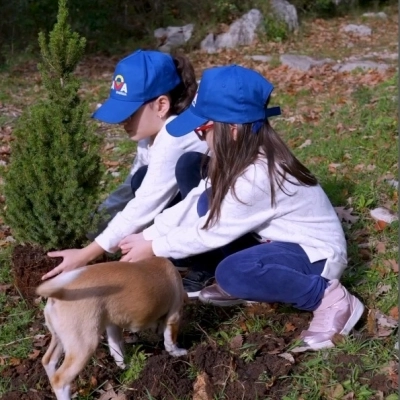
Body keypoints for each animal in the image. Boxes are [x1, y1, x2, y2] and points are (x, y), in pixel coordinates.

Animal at [36, 256, 187, 400]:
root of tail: (58, 294)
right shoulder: (174, 315)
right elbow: (170, 339)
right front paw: (178, 352)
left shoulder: (112, 324)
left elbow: (116, 346)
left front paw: (123, 365)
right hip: (83, 346)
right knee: (60, 380)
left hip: (59, 339)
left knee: (48, 361)